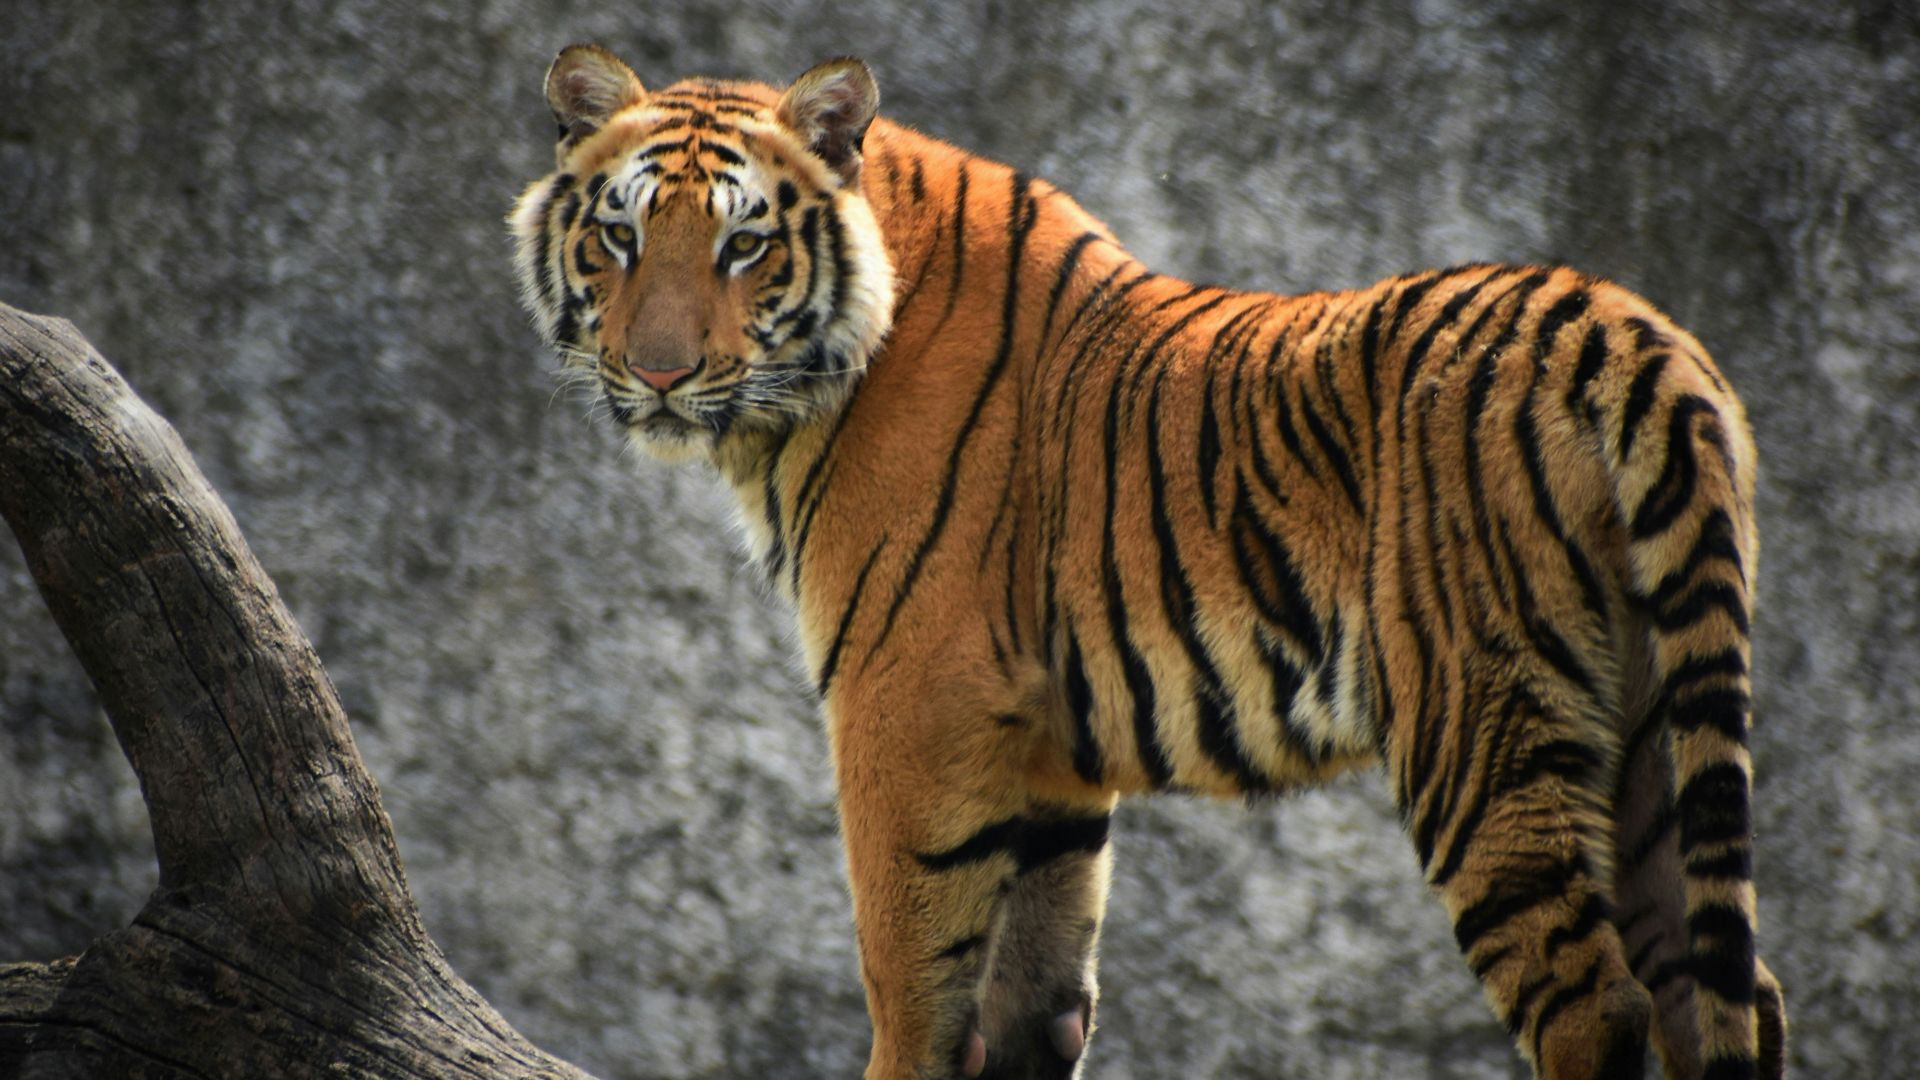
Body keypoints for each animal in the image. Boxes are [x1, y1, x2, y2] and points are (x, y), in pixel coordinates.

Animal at [510, 44, 1788, 1080]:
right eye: (620, 236)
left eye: (744, 245)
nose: (660, 373)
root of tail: (1625, 329)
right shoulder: (1044, 755)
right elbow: (1030, 1000)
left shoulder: (904, 701)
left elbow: (911, 978)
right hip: (1652, 726)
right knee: (1726, 996)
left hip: (1481, 725)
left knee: (1595, 1004)